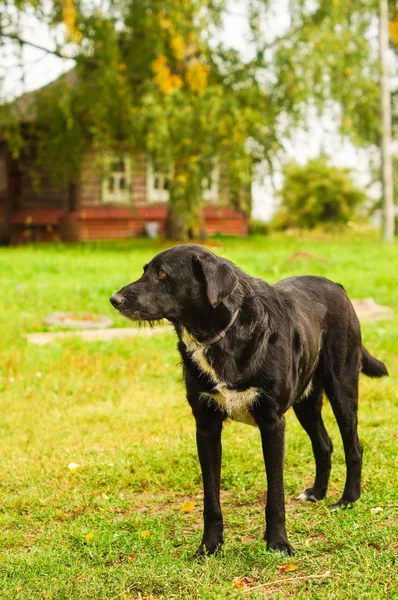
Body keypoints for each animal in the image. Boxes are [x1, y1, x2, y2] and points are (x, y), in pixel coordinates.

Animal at [109, 243, 388, 552]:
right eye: (145, 270)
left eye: (162, 274)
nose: (114, 299)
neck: (221, 336)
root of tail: (337, 286)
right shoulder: (206, 427)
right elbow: (211, 498)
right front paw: (210, 546)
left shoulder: (272, 423)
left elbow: (275, 493)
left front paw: (278, 543)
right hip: (305, 401)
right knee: (324, 444)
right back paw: (317, 492)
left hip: (342, 388)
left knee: (354, 446)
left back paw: (348, 500)